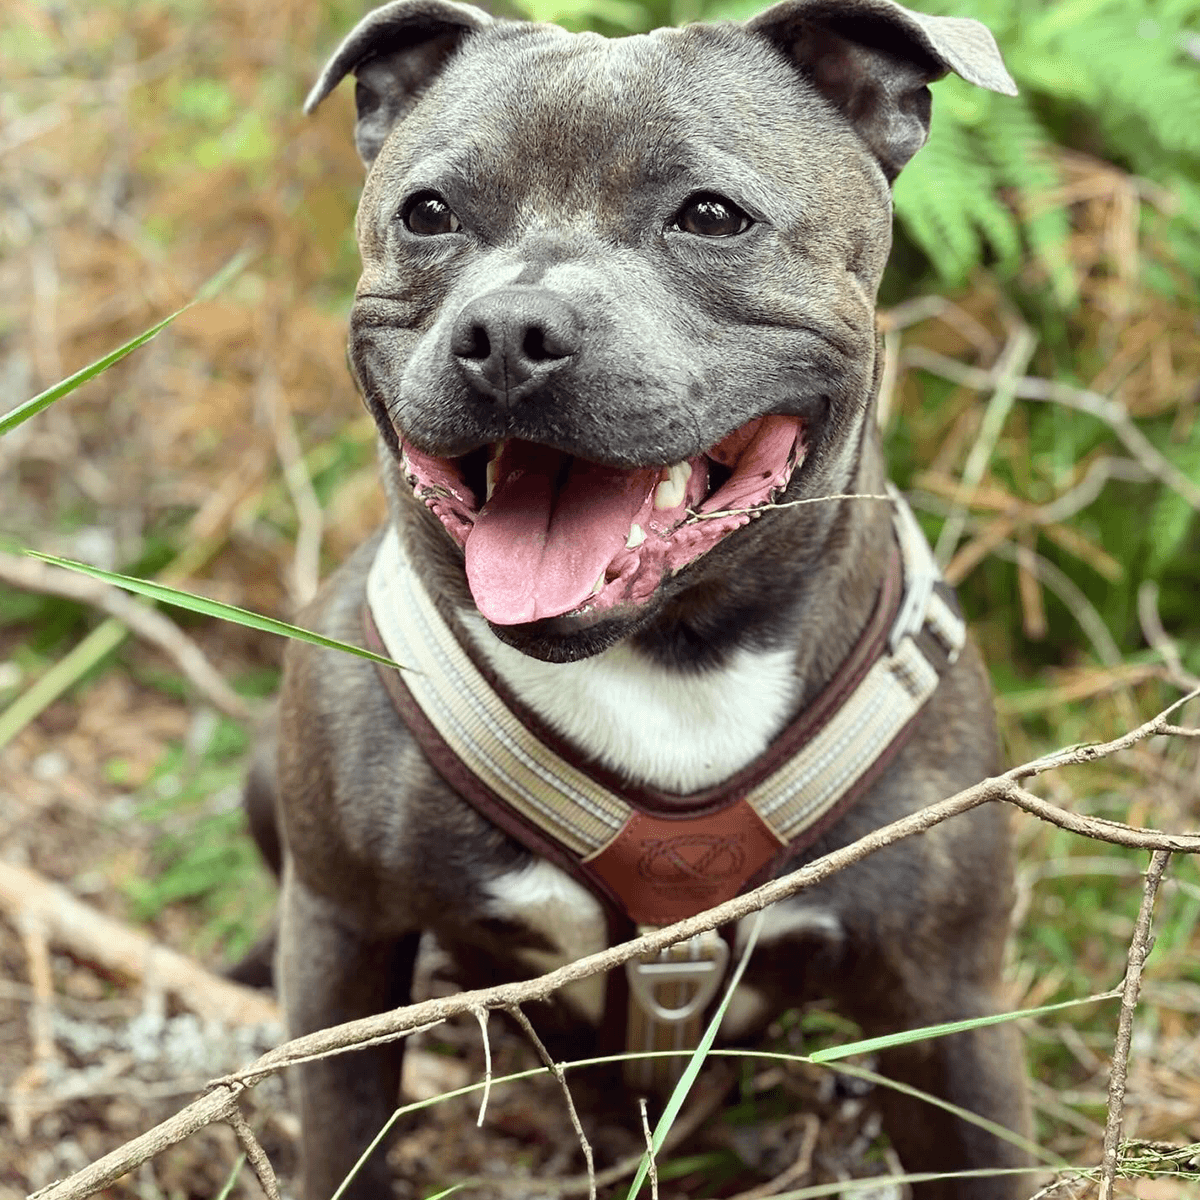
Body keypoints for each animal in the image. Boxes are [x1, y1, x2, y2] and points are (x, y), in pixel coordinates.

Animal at [241, 0, 1032, 1195]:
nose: (509, 332)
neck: (669, 655)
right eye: (428, 213)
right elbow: (342, 1140)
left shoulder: (948, 999)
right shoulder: (342, 934)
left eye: (710, 215)